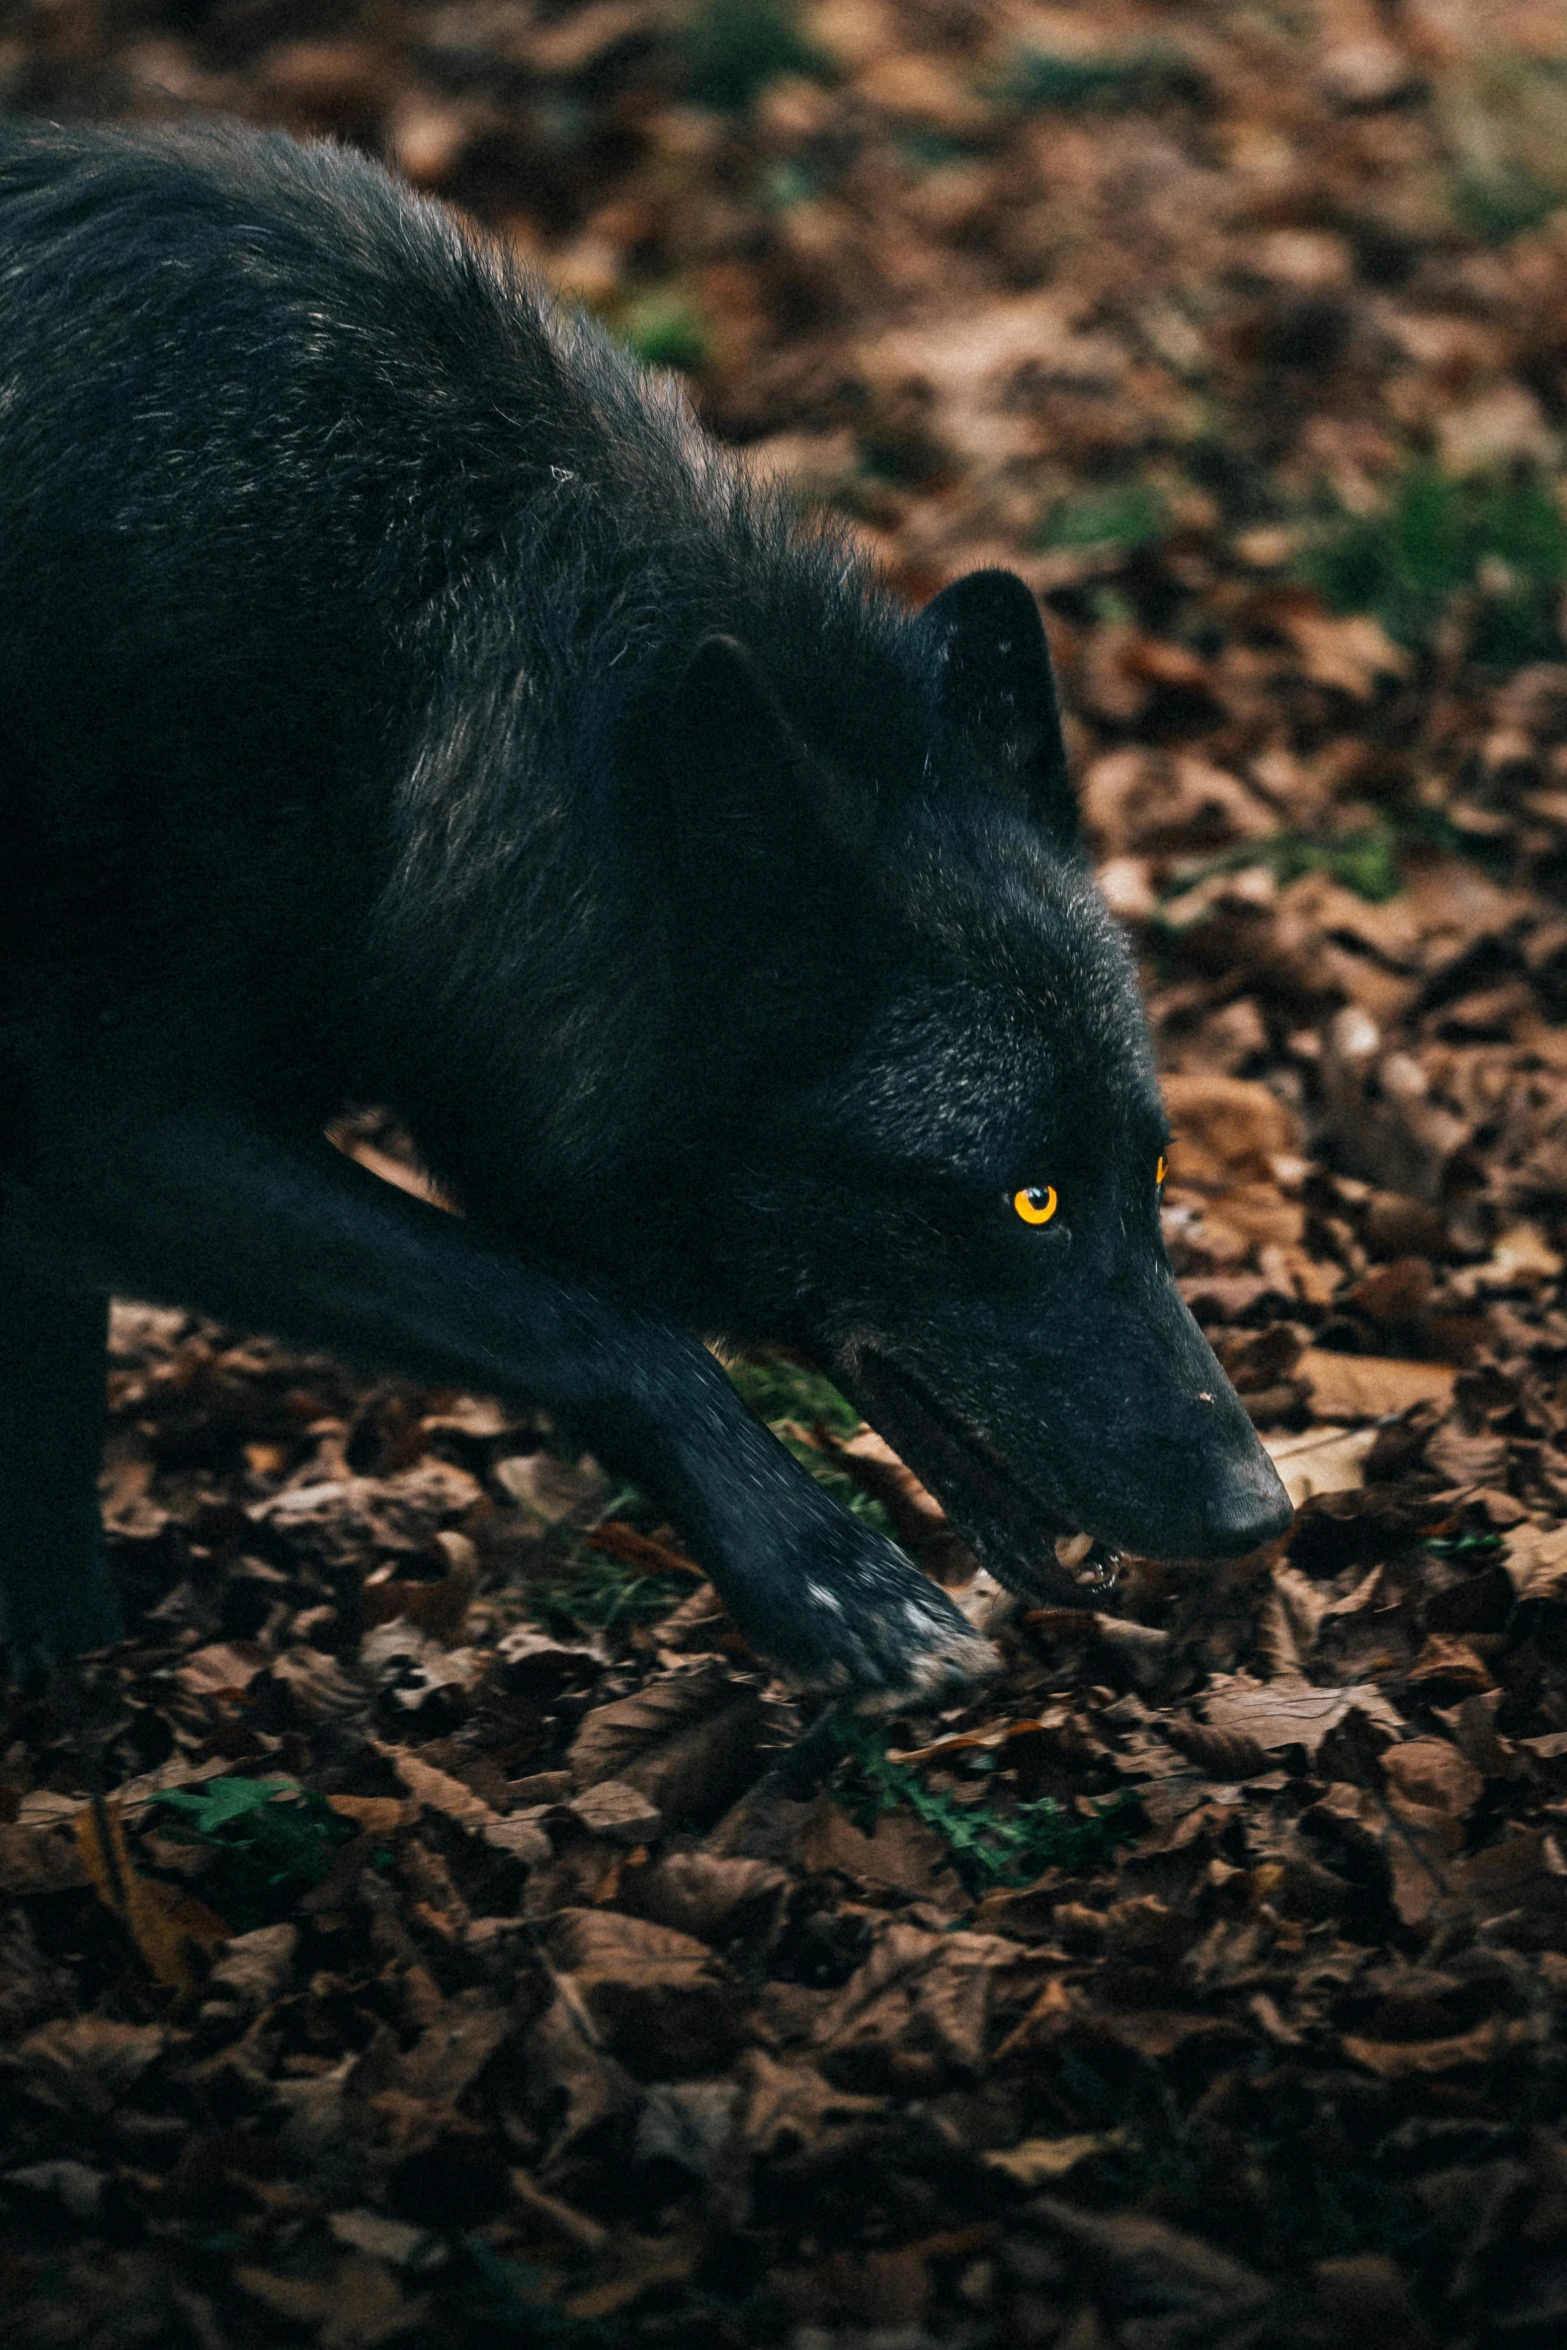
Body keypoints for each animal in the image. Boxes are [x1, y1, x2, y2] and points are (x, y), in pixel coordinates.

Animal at [0, 119, 1287, 1701]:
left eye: (1150, 1173)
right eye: (1026, 1200)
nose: (1261, 1511)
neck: (411, 662)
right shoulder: (100, 1120)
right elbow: (588, 1314)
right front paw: (827, 1574)